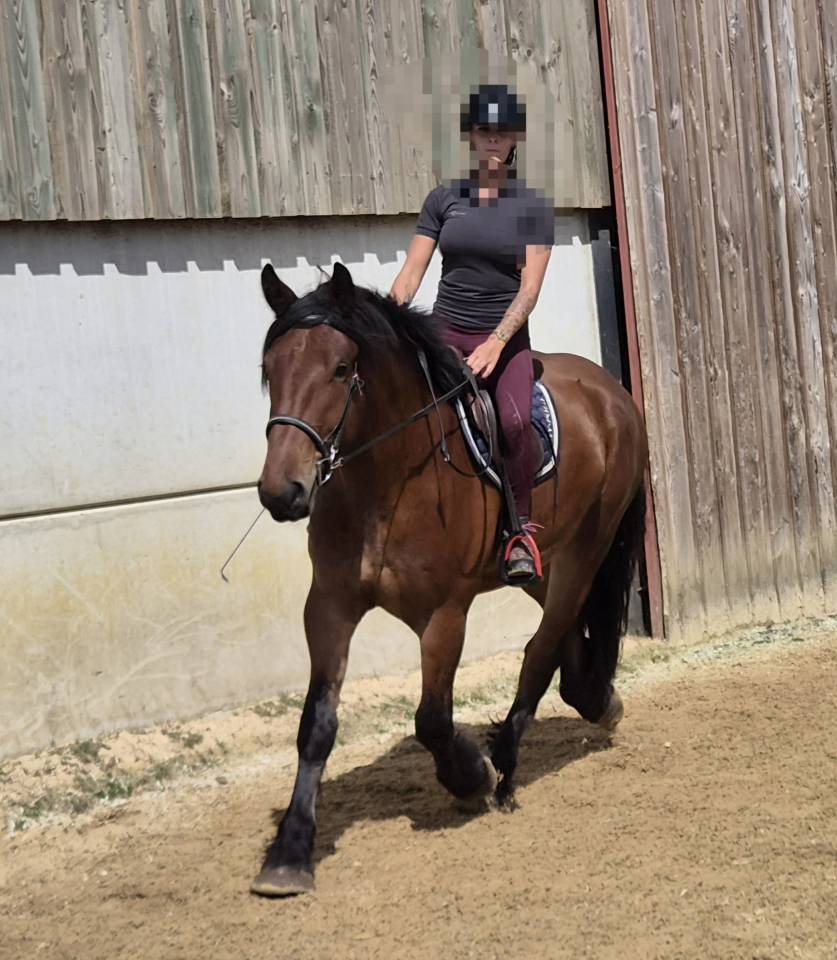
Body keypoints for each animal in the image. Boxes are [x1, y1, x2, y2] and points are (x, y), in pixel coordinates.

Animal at [250, 261, 648, 896]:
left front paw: (470, 775)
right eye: (270, 369)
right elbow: (316, 724)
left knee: (541, 647)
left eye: (340, 369)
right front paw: (288, 854)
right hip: (542, 561)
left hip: (586, 549)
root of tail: (611, 393)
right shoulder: (329, 605)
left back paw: (506, 766)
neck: (387, 482)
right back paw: (596, 699)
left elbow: (432, 719)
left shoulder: (444, 613)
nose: (281, 493)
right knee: (562, 632)